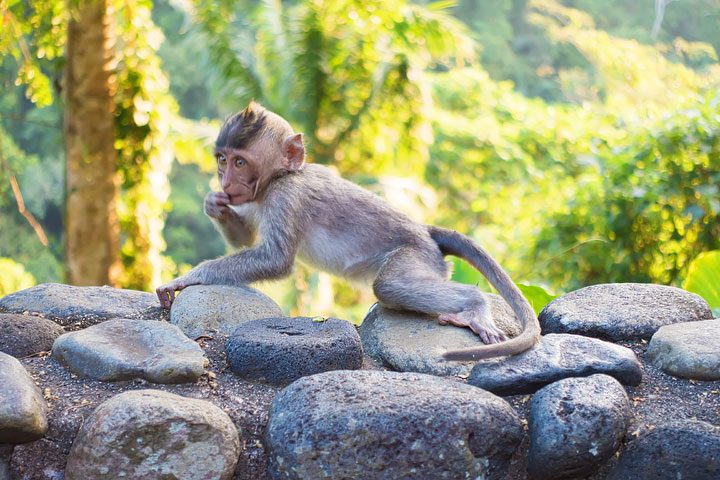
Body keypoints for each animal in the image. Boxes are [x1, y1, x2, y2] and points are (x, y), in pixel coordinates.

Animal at [158, 102, 540, 360]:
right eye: (222, 159)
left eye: (240, 162)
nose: (225, 181)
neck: (280, 177)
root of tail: (424, 231)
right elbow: (247, 239)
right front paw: (213, 203)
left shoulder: (286, 197)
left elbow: (275, 259)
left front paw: (188, 277)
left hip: (416, 255)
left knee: (390, 285)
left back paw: (474, 306)